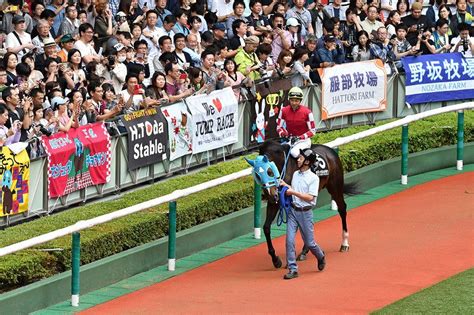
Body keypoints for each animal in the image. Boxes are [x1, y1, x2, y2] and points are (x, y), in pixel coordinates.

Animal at [246, 139, 358, 268]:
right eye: (257, 175)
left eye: (269, 172)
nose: (270, 195)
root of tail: (330, 151)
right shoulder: (275, 202)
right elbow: (266, 227)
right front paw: (275, 260)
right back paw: (305, 250)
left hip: (335, 186)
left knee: (342, 208)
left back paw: (344, 243)